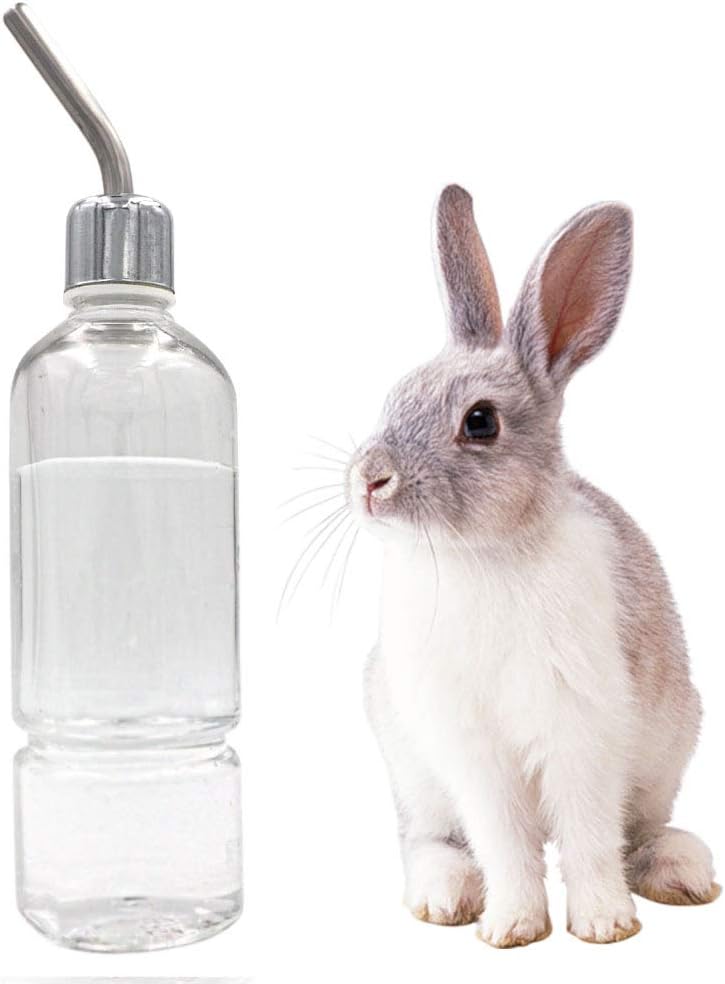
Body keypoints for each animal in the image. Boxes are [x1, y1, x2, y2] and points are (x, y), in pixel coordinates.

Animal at [347, 185, 718, 947]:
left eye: (480, 421)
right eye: (394, 396)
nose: (369, 480)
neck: (483, 555)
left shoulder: (582, 730)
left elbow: (587, 836)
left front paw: (604, 925)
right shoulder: (471, 749)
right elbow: (504, 840)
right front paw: (512, 927)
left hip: (667, 752)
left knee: (639, 830)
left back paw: (682, 873)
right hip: (414, 771)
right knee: (429, 840)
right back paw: (444, 897)